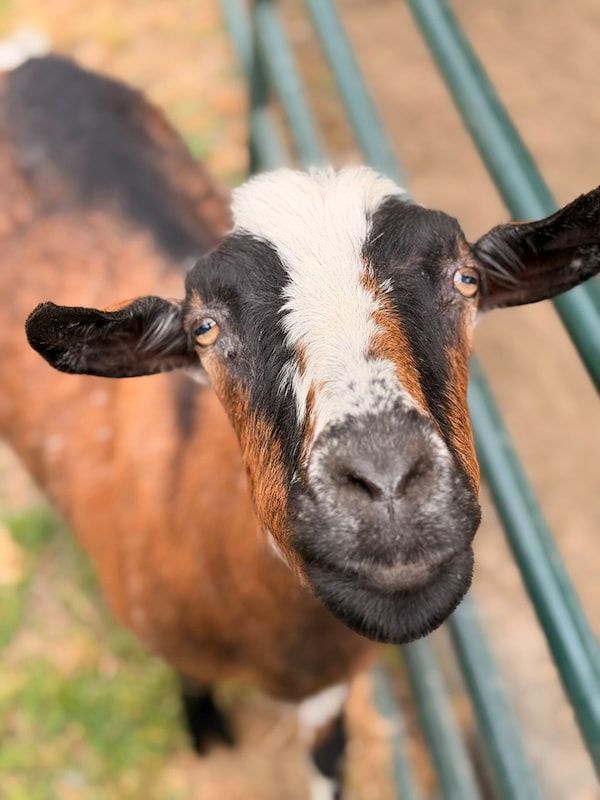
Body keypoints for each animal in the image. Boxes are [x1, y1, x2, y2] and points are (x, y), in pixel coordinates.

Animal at [1, 55, 598, 799]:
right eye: (204, 329)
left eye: (465, 280)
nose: (386, 482)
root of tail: (30, 62)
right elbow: (191, 681)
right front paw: (204, 727)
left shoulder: (330, 688)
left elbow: (330, 757)